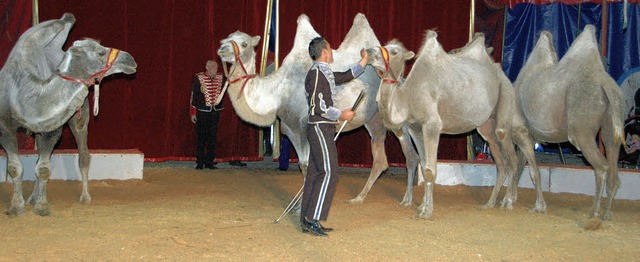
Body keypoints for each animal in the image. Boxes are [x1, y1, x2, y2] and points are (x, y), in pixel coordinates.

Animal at [0, 13, 138, 216]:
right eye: (100, 52)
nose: (131, 60)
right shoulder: (5, 127)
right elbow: (15, 167)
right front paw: (17, 207)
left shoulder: (51, 130)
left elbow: (43, 168)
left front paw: (42, 207)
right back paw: (32, 198)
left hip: (80, 115)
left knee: (83, 155)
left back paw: (85, 197)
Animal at [218, 13, 422, 206]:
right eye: (227, 37)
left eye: (244, 43)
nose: (221, 48)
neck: (279, 92)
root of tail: (401, 79)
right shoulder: (290, 130)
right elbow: (303, 165)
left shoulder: (304, 127)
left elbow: (308, 165)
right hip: (374, 120)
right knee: (383, 159)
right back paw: (360, 198)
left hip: (396, 119)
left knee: (411, 156)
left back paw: (408, 197)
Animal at [364, 30, 544, 219]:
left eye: (394, 51)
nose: (368, 51)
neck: (409, 94)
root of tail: (502, 74)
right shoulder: (415, 127)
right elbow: (424, 165)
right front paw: (421, 207)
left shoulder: (432, 125)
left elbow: (430, 170)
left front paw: (427, 212)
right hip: (487, 126)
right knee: (501, 162)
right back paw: (490, 203)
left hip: (506, 98)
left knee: (513, 153)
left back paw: (515, 203)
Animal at [512, 25, 624, 220]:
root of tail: (605, 84)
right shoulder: (529, 134)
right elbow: (520, 166)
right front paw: (510, 199)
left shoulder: (523, 130)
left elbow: (532, 171)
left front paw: (538, 206)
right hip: (611, 123)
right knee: (613, 166)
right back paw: (606, 214)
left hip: (581, 129)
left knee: (601, 166)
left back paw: (593, 212)